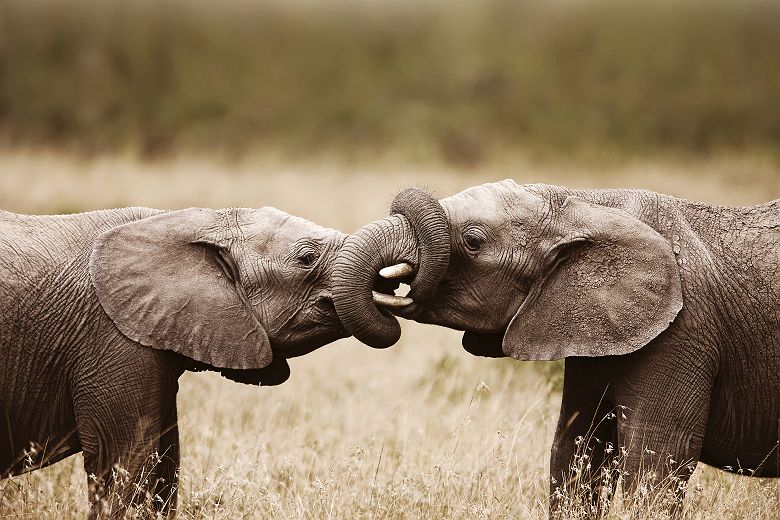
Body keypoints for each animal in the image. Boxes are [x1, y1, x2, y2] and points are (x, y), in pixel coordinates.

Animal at [332, 182, 776, 512]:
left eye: (473, 241)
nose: (391, 286)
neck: (584, 203)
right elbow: (577, 452)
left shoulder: (682, 334)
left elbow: (655, 462)